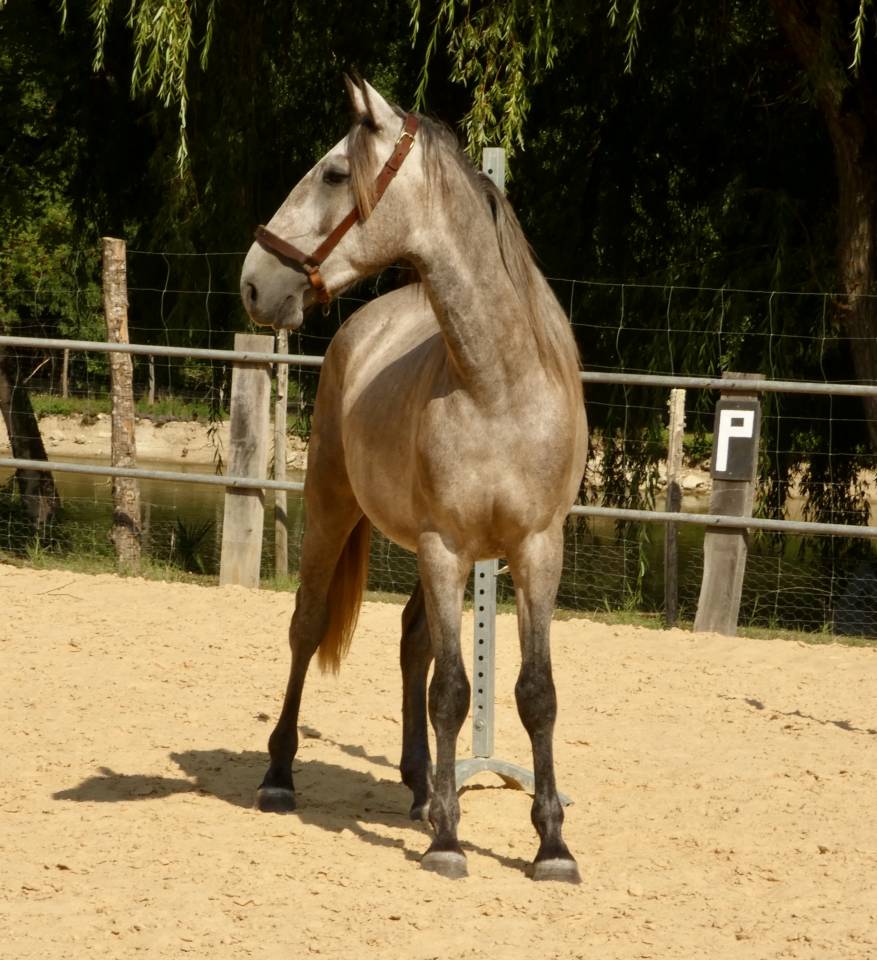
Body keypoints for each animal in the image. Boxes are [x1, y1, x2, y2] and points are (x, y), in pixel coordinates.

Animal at [239, 77, 588, 883]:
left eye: (336, 173)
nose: (254, 282)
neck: (498, 383)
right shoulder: (443, 545)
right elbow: (454, 690)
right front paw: (450, 840)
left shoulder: (535, 549)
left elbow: (534, 692)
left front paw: (550, 844)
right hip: (334, 514)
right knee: (307, 628)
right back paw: (281, 775)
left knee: (411, 643)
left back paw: (421, 785)